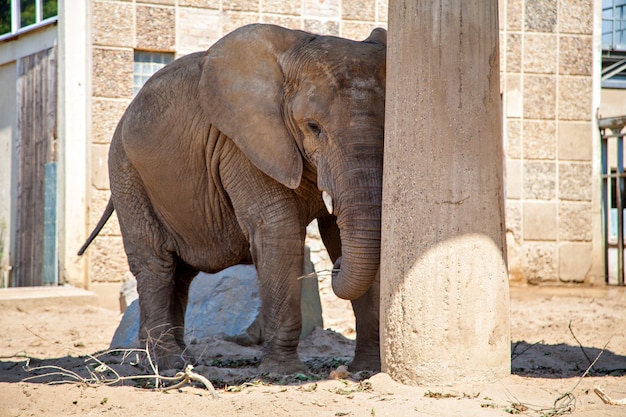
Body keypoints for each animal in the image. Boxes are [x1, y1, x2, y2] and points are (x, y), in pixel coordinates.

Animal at [79, 22, 386, 374]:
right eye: (313, 127)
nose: (334, 269)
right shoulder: (240, 146)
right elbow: (277, 230)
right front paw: (284, 373)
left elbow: (340, 233)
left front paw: (367, 370)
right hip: (126, 172)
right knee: (156, 264)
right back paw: (169, 365)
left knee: (180, 274)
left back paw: (164, 361)